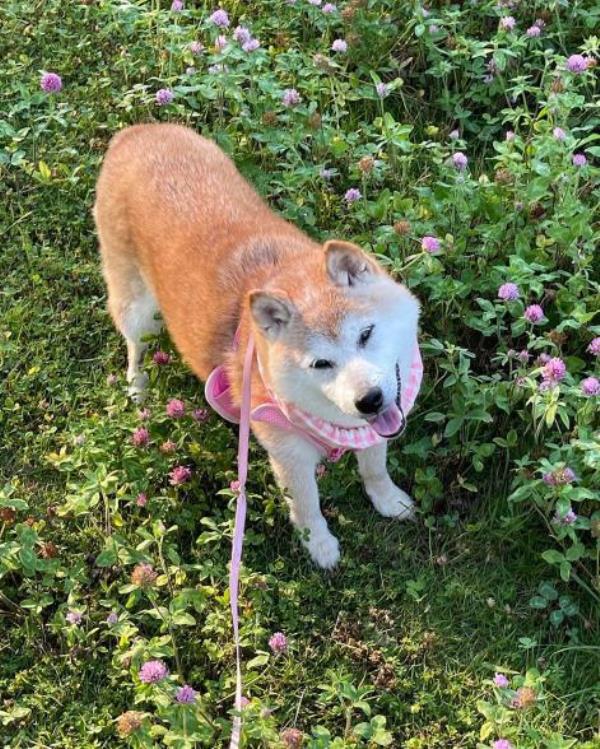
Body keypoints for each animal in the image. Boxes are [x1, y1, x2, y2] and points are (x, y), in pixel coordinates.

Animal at [94, 122, 422, 568]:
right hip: (138, 308)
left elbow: (375, 467)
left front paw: (388, 499)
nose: (369, 400)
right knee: (134, 346)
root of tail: (136, 131)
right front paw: (320, 546)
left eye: (366, 334)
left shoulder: (373, 430)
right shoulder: (289, 455)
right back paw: (137, 386)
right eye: (321, 364)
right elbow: (307, 507)